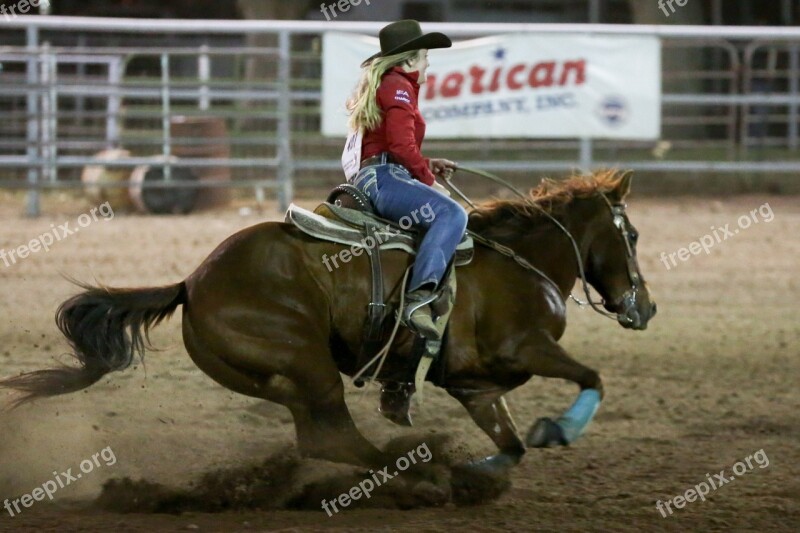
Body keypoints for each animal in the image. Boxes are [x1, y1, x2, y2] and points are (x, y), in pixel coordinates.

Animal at [1, 169, 656, 470]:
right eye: (633, 235)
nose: (644, 306)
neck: (522, 261)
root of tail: (192, 280)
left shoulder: (473, 383)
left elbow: (512, 445)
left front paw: (483, 468)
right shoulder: (525, 348)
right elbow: (591, 377)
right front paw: (558, 429)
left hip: (281, 378)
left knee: (319, 436)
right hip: (307, 361)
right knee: (335, 436)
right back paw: (413, 472)